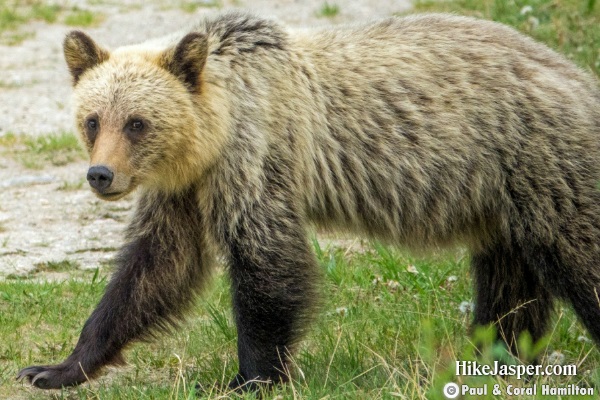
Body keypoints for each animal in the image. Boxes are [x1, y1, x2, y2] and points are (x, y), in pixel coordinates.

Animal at [17, 10, 600, 392]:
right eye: (93, 119)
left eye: (137, 122)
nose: (101, 174)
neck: (211, 136)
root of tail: (579, 77)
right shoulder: (182, 191)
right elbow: (152, 271)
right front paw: (54, 368)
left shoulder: (256, 157)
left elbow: (266, 265)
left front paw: (250, 377)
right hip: (501, 202)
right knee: (509, 288)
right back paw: (497, 357)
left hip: (542, 165)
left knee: (580, 261)